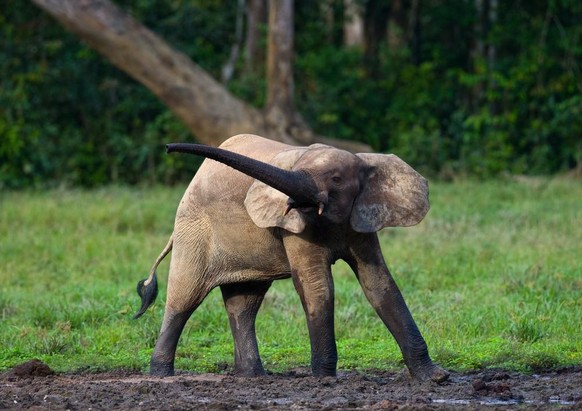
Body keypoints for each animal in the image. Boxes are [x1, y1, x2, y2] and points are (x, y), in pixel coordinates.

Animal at [135, 134, 450, 384]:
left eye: (336, 179)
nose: (167, 148)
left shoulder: (360, 221)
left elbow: (379, 284)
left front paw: (436, 378)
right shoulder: (297, 228)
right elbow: (318, 287)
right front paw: (325, 380)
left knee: (244, 304)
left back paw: (253, 377)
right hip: (194, 229)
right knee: (184, 297)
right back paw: (161, 375)